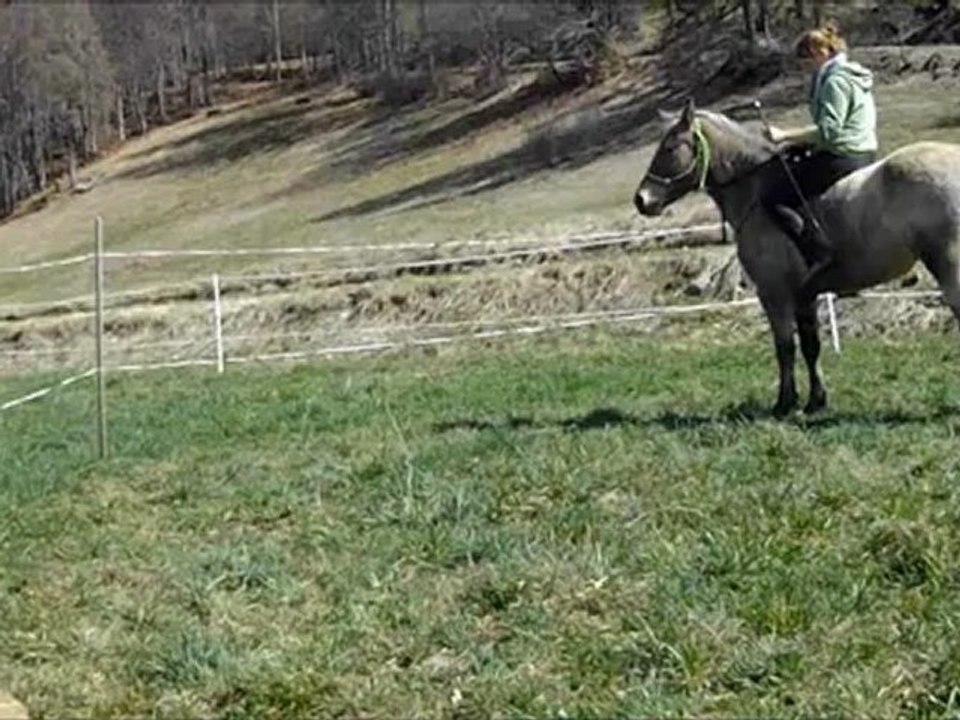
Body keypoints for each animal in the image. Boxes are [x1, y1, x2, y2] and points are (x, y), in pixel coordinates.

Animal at [633, 98, 960, 417]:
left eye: (670, 147)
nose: (641, 200)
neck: (753, 192)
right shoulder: (806, 295)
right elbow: (810, 345)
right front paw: (816, 401)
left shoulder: (774, 293)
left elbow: (785, 347)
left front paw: (784, 403)